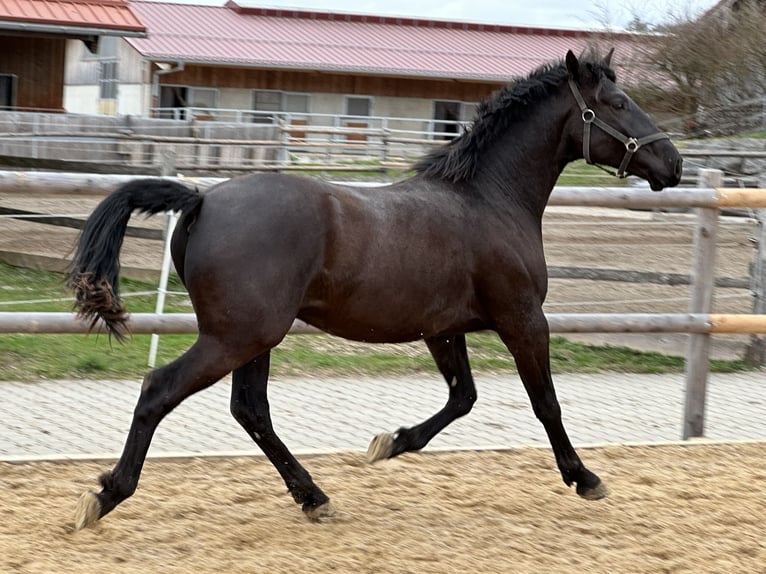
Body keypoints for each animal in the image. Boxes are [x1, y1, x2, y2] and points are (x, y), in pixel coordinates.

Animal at [69, 50, 684, 532]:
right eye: (618, 102)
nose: (674, 164)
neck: (490, 200)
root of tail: (201, 199)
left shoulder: (444, 330)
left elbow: (462, 398)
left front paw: (388, 443)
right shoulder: (524, 318)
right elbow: (545, 403)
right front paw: (585, 478)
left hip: (253, 338)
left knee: (251, 410)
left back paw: (314, 498)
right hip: (235, 336)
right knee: (160, 390)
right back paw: (105, 496)